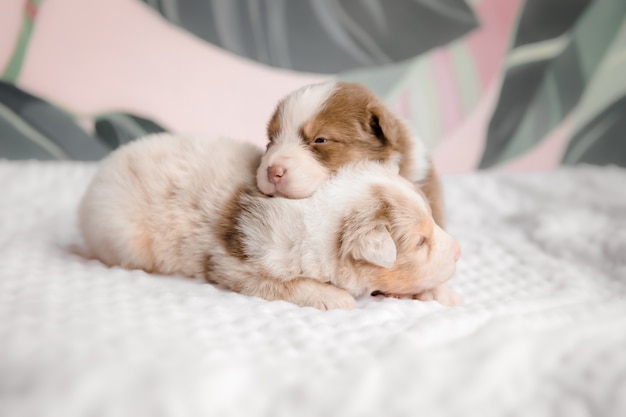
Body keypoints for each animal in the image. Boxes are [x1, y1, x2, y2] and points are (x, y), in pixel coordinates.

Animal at [77, 134, 458, 308]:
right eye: (421, 242)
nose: (459, 253)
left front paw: (443, 293)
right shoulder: (235, 265)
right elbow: (288, 284)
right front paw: (334, 297)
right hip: (122, 239)